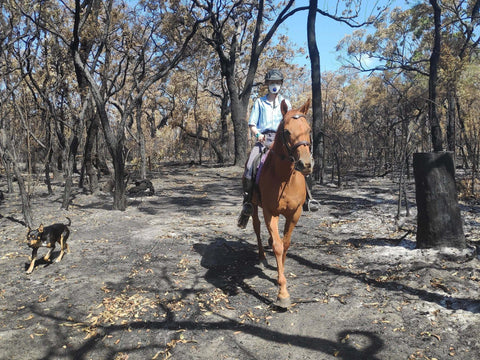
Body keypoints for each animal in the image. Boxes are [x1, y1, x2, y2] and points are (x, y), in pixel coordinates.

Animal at [249, 99, 314, 310]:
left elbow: (285, 244)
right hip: (254, 206)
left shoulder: (294, 214)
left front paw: (281, 271)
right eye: (286, 131)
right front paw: (282, 293)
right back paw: (262, 256)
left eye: (308, 129)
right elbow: (278, 246)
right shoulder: (271, 212)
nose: (306, 164)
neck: (284, 177)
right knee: (257, 227)